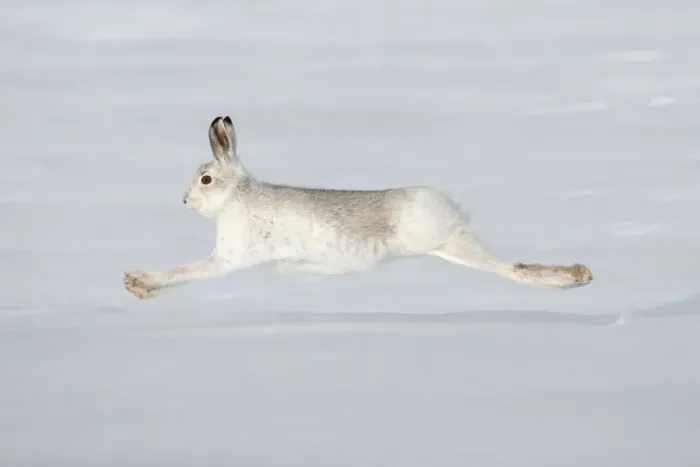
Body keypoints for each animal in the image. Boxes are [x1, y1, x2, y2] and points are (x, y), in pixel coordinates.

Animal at [123, 116, 593, 299]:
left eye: (205, 179)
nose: (184, 200)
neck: (238, 196)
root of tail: (450, 207)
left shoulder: (227, 259)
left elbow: (184, 272)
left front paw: (137, 283)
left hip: (445, 243)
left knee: (510, 271)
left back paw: (573, 279)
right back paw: (578, 276)